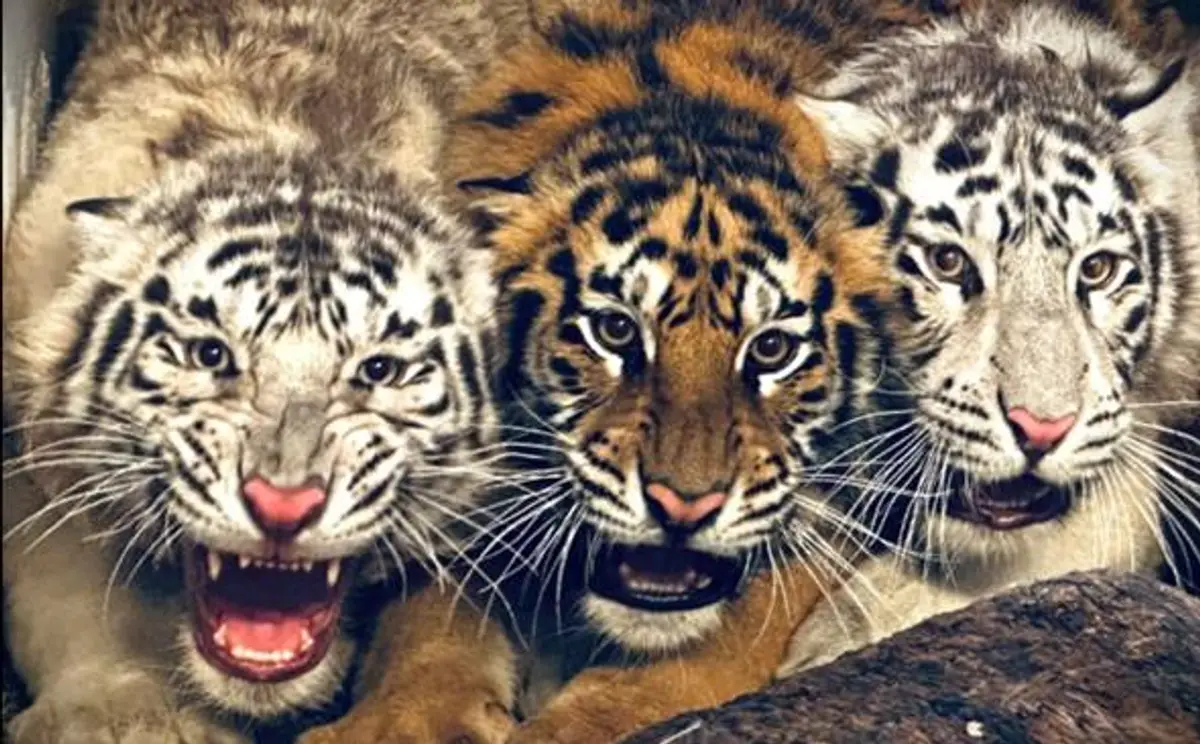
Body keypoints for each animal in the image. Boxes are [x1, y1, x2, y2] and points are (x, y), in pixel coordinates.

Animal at [1, 0, 533, 740]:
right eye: (210, 355)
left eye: (381, 370)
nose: (284, 503)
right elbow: (63, 580)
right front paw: (119, 712)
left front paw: (417, 714)